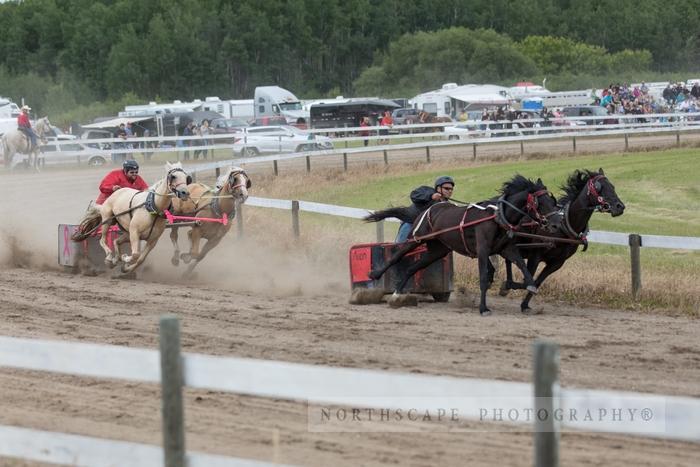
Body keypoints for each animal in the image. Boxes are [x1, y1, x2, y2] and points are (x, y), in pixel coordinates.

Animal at [366, 176, 564, 318]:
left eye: (552, 201)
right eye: (541, 202)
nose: (556, 224)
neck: (497, 217)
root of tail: (430, 208)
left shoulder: (506, 248)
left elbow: (522, 266)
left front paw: (530, 285)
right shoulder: (483, 250)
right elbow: (483, 278)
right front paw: (483, 308)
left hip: (437, 250)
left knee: (413, 268)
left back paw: (397, 294)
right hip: (416, 238)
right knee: (396, 256)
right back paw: (375, 275)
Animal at [500, 166, 628, 312]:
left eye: (612, 186)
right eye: (599, 187)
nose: (619, 206)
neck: (563, 226)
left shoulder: (557, 263)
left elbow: (536, 282)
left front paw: (525, 304)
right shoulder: (535, 255)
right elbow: (528, 280)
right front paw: (506, 287)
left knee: (508, 260)